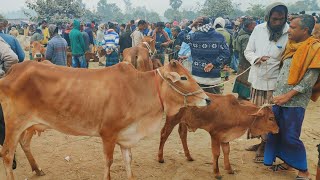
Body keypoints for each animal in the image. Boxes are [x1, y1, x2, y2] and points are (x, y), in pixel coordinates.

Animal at [0, 59, 210, 179]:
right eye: (183, 78)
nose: (207, 99)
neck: (138, 89)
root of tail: (14, 70)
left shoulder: (126, 137)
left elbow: (128, 162)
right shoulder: (108, 134)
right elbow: (108, 162)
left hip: (31, 124)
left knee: (24, 144)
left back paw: (37, 169)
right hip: (14, 124)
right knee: (7, 154)